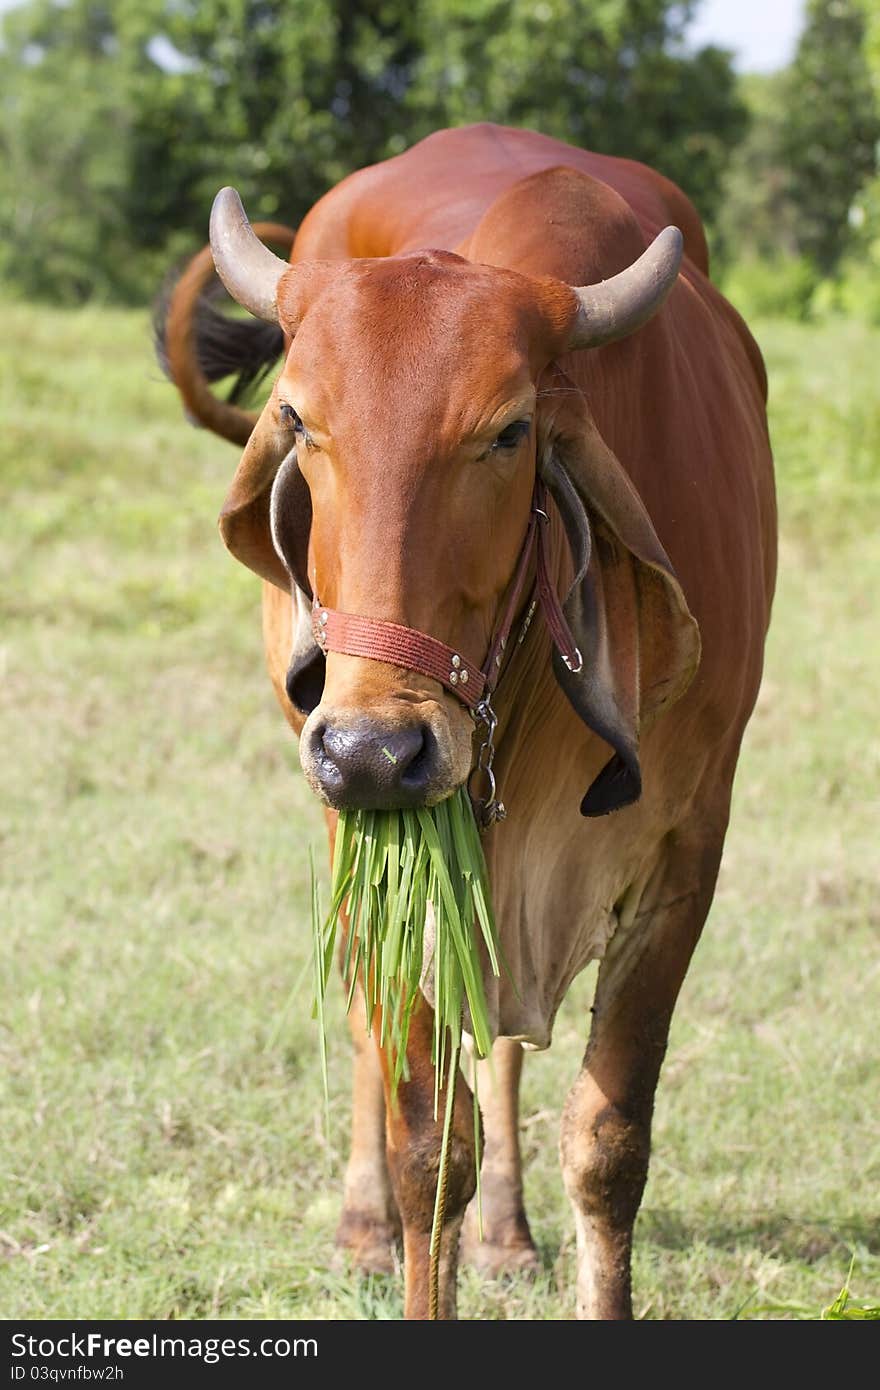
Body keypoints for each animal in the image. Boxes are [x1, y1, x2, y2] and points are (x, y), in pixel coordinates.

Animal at [159, 125, 772, 1317]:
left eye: (508, 432)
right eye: (300, 419)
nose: (373, 750)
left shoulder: (687, 852)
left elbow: (608, 1143)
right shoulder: (388, 832)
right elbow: (425, 1146)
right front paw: (397, 1222)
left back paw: (506, 1230)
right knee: (367, 1013)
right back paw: (361, 1226)